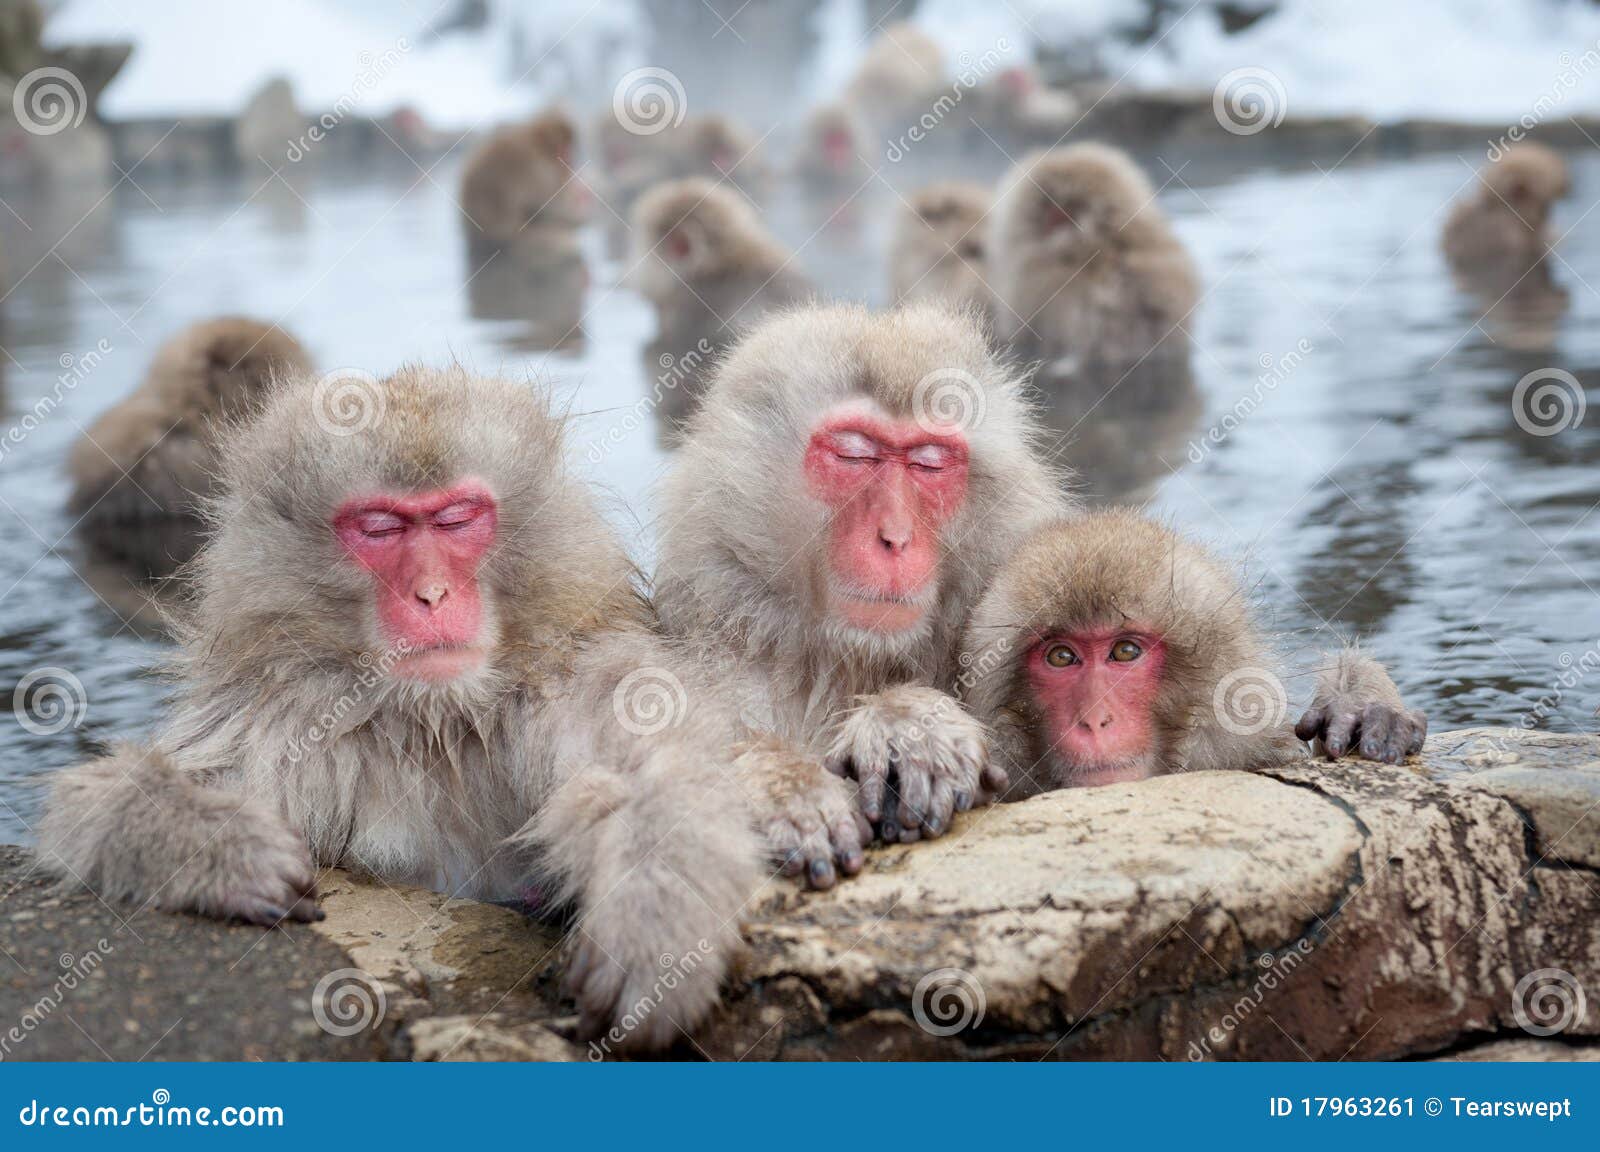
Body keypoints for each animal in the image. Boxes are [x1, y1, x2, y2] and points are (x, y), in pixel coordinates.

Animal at [37, 364, 857, 1050]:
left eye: (459, 518)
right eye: (380, 527)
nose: (431, 594)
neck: (436, 719)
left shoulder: (580, 682)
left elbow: (670, 767)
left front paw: (654, 924)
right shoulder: (277, 719)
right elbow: (92, 805)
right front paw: (218, 845)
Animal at [459, 108, 590, 253]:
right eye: (566, 152)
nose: (570, 162)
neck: (539, 145)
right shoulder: (543, 174)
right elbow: (554, 206)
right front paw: (576, 208)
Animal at [654, 301, 1076, 849]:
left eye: (928, 464)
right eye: (854, 455)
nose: (895, 536)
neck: (847, 662)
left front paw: (908, 724)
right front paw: (784, 786)